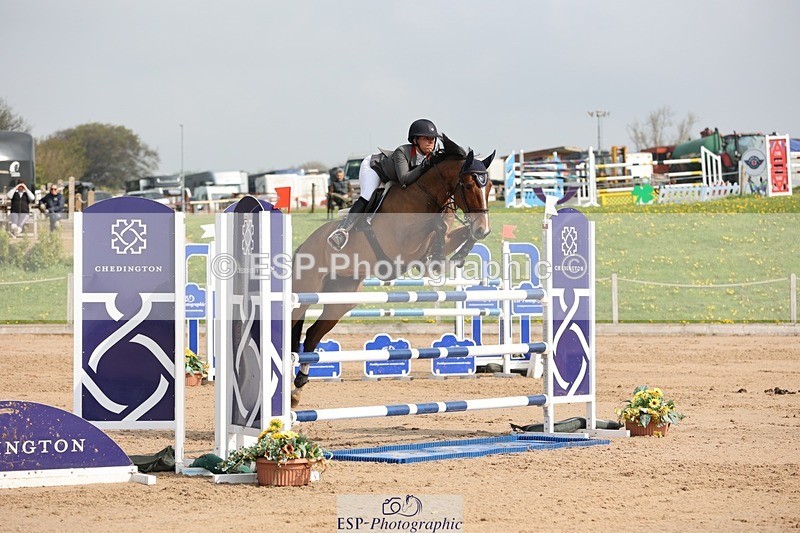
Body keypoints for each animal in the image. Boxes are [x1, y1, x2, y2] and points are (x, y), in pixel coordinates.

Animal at [290, 134, 495, 406]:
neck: (428, 195)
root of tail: (304, 245)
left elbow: (452, 233)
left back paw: (297, 389)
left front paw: (451, 257)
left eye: (489, 185)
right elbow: (437, 225)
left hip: (341, 299)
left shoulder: (441, 238)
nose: (484, 228)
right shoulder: (402, 242)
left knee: (313, 335)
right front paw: (438, 259)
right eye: (469, 185)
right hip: (304, 293)